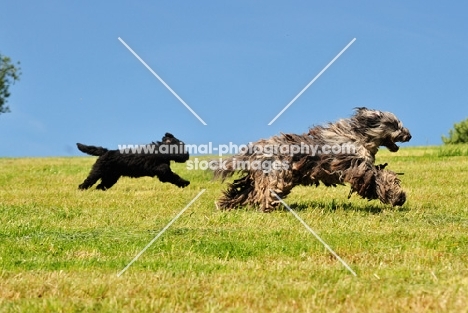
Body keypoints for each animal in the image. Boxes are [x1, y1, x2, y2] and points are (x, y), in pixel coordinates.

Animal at [214, 108, 412, 212]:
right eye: (394, 124)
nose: (409, 135)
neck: (357, 136)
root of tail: (254, 149)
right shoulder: (357, 167)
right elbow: (378, 179)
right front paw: (397, 196)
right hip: (276, 176)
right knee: (264, 193)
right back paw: (268, 207)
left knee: (243, 191)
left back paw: (226, 204)